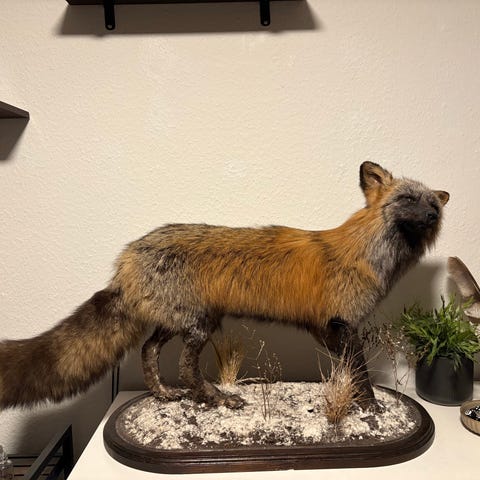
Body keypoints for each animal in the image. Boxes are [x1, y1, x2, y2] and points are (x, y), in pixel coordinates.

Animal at [0, 162, 449, 411]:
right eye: (407, 199)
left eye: (434, 205)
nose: (431, 215)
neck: (366, 254)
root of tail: (125, 260)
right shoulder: (342, 323)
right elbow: (360, 373)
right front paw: (369, 407)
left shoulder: (329, 329)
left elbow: (346, 371)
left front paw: (352, 401)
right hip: (198, 324)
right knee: (185, 368)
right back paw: (217, 399)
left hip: (180, 321)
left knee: (149, 352)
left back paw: (163, 394)